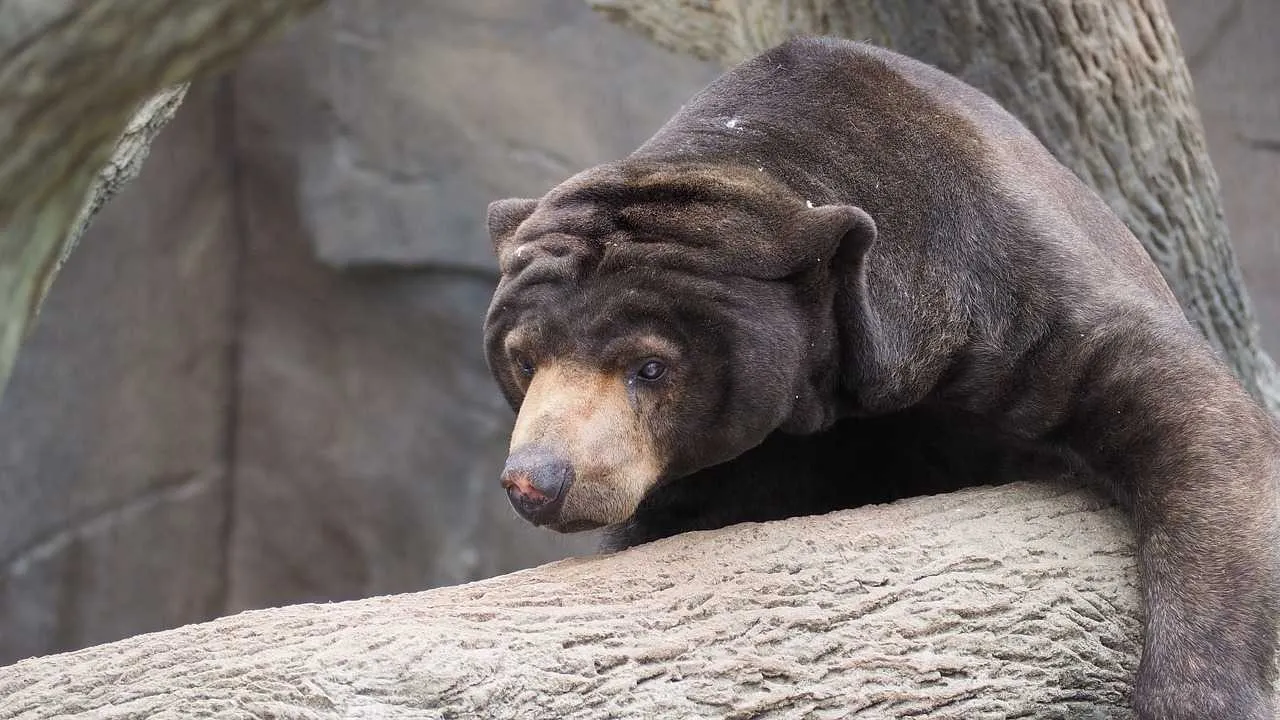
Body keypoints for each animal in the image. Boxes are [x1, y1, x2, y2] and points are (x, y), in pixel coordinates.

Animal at [478, 35, 1280, 717]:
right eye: (524, 358)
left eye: (649, 366)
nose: (538, 481)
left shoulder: (1010, 289)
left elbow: (1186, 410)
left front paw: (1197, 693)